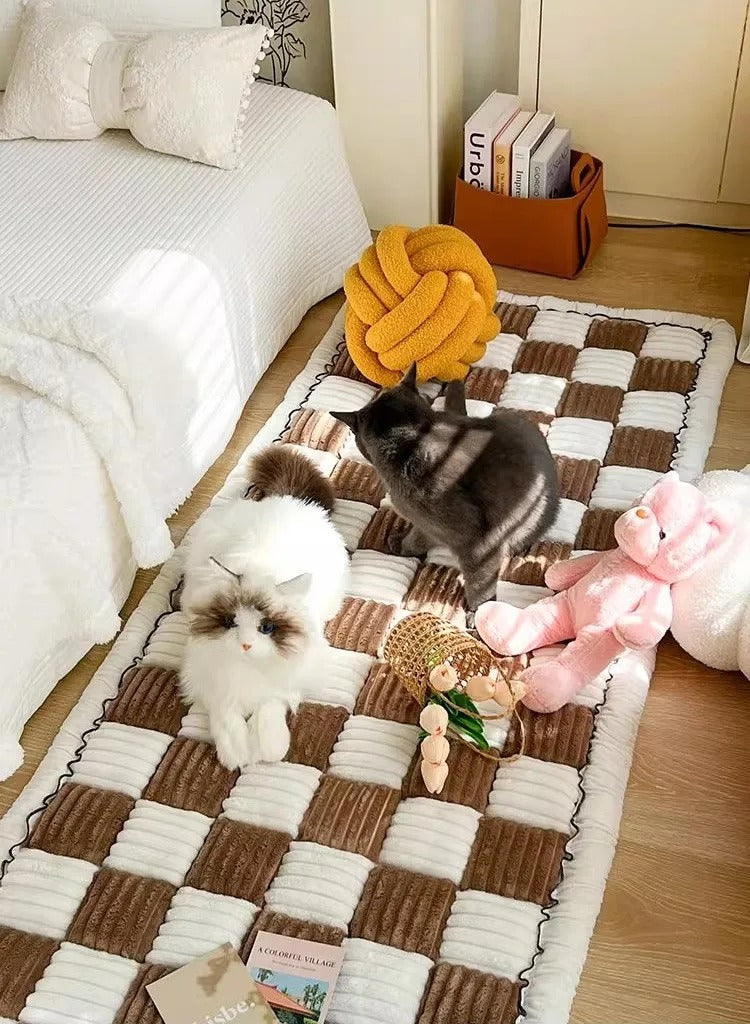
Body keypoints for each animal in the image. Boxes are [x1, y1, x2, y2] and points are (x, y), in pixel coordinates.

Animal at [181, 444, 348, 770]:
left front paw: (270, 749)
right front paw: (235, 754)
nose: (245, 645)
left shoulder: (286, 681)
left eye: (267, 627)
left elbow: (269, 708)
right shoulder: (213, 681)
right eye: (230, 622)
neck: (248, 667)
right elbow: (226, 717)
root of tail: (285, 499)